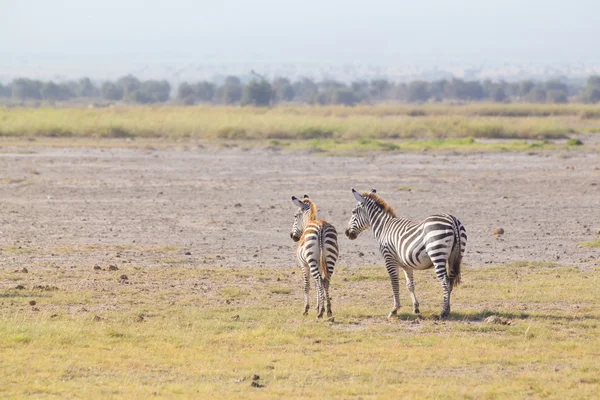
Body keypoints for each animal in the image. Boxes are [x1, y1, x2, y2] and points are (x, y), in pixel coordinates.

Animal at [344, 188, 466, 318]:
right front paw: (416, 308)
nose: (347, 233)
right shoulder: (406, 264)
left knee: (445, 282)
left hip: (437, 254)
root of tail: (452, 220)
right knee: (451, 281)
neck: (383, 227)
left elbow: (394, 283)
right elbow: (410, 285)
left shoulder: (389, 259)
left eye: (353, 212)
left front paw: (394, 309)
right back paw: (448, 309)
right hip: (454, 256)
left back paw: (444, 311)